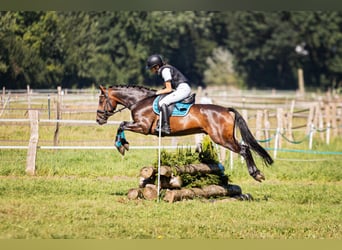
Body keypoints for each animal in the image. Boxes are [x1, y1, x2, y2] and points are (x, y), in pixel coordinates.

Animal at [96, 84, 272, 182]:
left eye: (101, 99)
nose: (98, 119)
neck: (140, 101)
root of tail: (227, 110)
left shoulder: (143, 127)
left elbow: (121, 125)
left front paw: (121, 145)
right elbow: (122, 125)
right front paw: (123, 145)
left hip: (222, 138)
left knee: (244, 149)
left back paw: (256, 174)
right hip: (226, 137)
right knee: (245, 147)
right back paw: (257, 173)